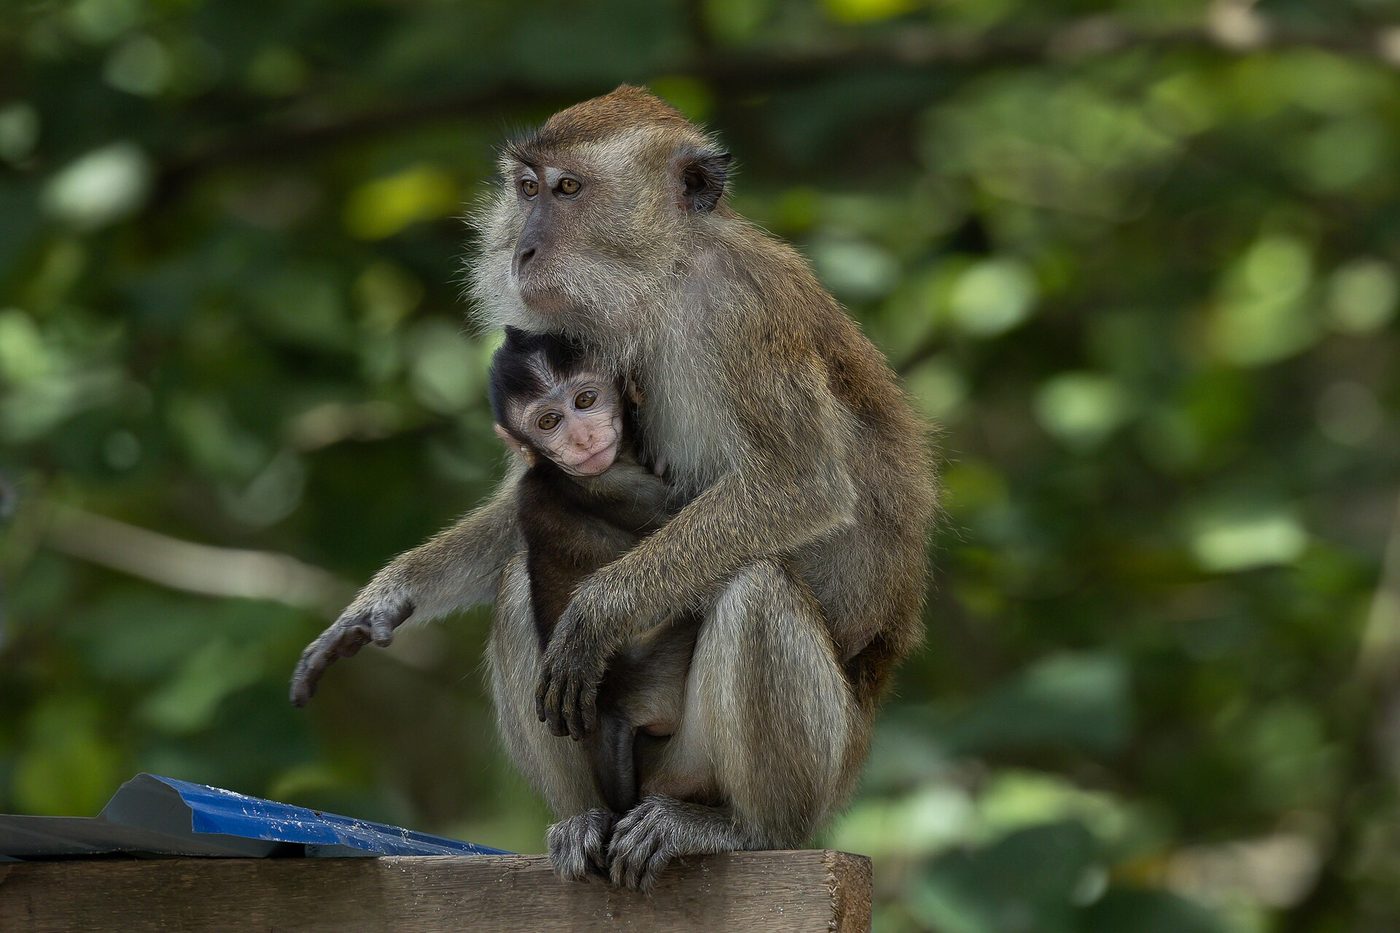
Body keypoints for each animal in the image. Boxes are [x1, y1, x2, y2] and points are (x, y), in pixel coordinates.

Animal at [487, 325, 697, 819]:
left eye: (585, 400)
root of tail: (614, 706)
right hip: (656, 680)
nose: (582, 438)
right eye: (548, 422)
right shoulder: (611, 485)